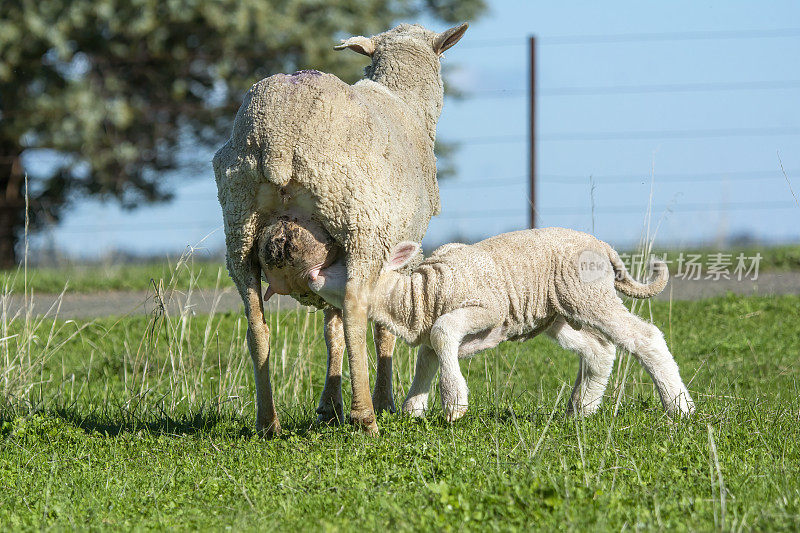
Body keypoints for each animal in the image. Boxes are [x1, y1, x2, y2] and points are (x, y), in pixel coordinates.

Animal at [212, 22, 468, 434]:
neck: (405, 101)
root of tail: (277, 141)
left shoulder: (331, 255)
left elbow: (329, 328)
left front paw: (329, 406)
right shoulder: (401, 241)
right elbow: (381, 327)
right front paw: (382, 401)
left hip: (239, 229)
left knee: (257, 327)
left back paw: (268, 422)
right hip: (359, 224)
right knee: (354, 313)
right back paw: (366, 416)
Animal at [306, 227, 692, 422]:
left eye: (346, 267)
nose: (310, 275)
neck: (419, 296)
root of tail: (603, 245)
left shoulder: (486, 309)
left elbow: (442, 332)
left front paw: (454, 404)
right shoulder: (428, 328)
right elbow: (427, 359)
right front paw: (413, 409)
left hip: (588, 294)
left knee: (644, 337)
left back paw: (679, 408)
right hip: (556, 312)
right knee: (599, 349)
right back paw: (581, 410)